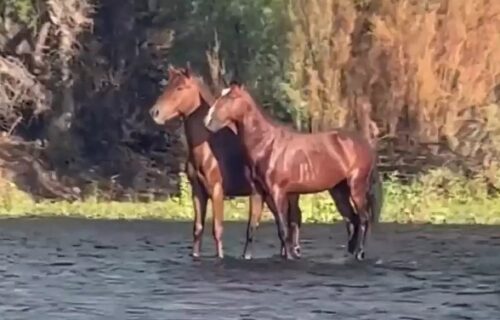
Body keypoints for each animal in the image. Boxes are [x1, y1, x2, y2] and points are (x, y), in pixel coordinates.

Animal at [148, 65, 302, 260]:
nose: (155, 112)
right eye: (167, 86)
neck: (209, 146)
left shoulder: (217, 190)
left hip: (288, 194)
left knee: (293, 221)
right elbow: (198, 229)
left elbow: (217, 229)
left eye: (180, 88)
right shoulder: (198, 192)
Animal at [205, 81, 384, 262]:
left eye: (232, 97)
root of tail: (366, 145)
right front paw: (246, 256)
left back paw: (359, 253)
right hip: (339, 191)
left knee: (363, 219)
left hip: (356, 187)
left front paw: (290, 256)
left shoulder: (278, 192)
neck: (266, 144)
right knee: (353, 219)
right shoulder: (257, 192)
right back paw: (350, 253)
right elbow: (252, 226)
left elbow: (284, 228)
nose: (208, 120)